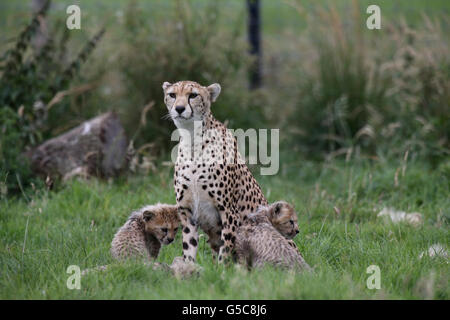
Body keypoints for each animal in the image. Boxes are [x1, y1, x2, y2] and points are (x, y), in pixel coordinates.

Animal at [162, 80, 268, 262]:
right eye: (172, 95)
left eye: (193, 95)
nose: (179, 108)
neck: (192, 140)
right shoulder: (187, 211)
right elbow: (188, 247)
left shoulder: (229, 212)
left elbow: (225, 250)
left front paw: (222, 268)